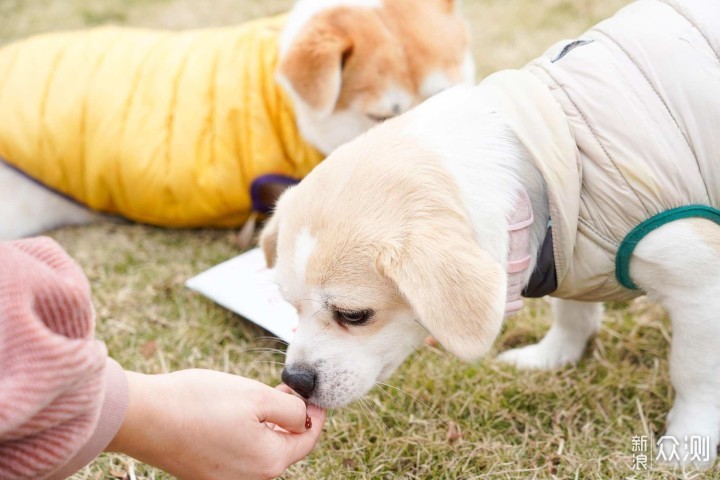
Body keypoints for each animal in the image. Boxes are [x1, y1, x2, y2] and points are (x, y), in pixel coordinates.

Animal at [262, 0, 720, 466]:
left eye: (353, 315)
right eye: (290, 305)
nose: (295, 379)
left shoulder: (701, 284)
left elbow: (694, 372)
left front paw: (689, 440)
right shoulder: (568, 244)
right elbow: (572, 314)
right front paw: (553, 357)